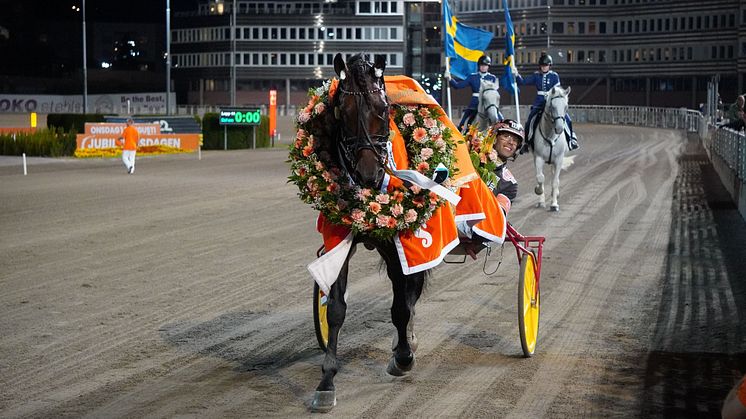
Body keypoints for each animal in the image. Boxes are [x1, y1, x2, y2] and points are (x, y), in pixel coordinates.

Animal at [308, 52, 424, 414]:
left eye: (383, 109)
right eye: (342, 112)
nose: (369, 174)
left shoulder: (399, 243)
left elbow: (401, 307)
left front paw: (402, 358)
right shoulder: (340, 241)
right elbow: (335, 309)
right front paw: (326, 381)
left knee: (410, 293)